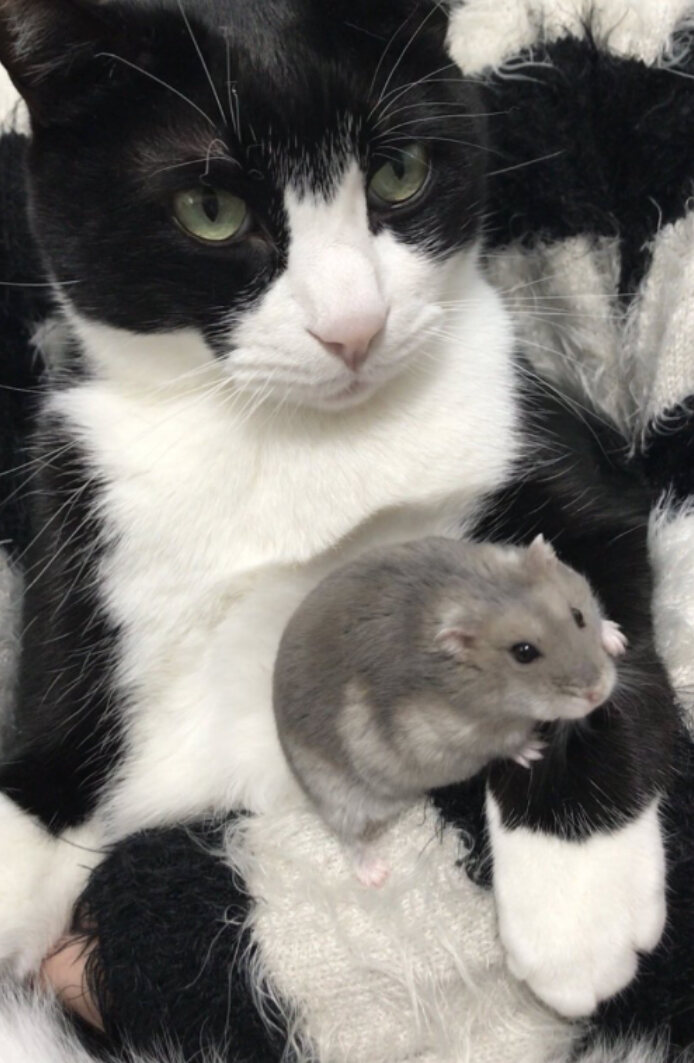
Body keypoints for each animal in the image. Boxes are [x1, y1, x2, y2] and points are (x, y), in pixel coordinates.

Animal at [272, 535, 627, 887]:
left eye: (578, 615)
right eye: (523, 652)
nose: (598, 692)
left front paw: (617, 637)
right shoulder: (456, 742)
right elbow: (505, 744)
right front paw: (534, 750)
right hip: (340, 796)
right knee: (348, 836)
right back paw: (376, 874)